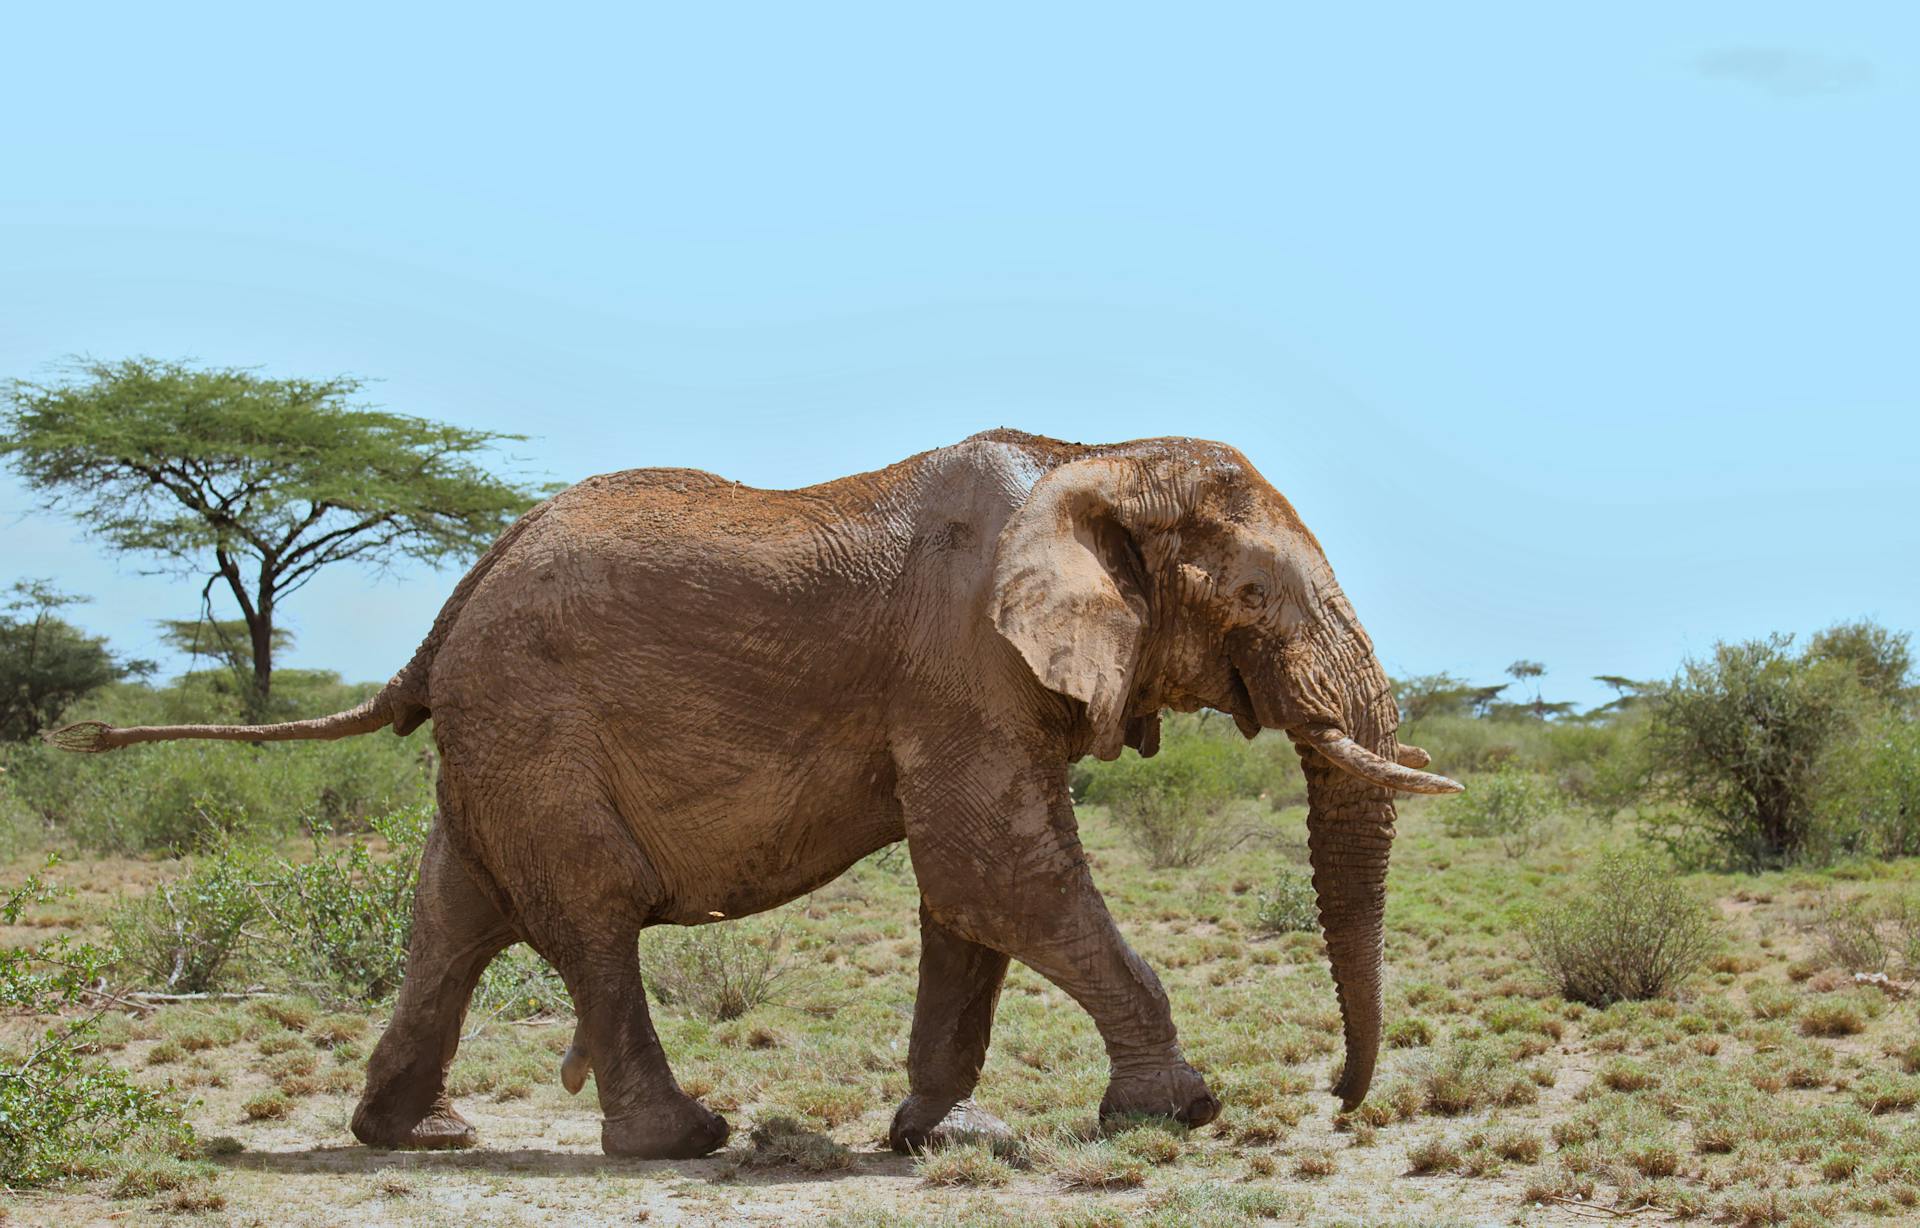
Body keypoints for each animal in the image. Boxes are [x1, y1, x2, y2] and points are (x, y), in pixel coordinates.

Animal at [52, 431, 1459, 1158]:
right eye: (1257, 596)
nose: (1342, 1099)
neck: (1092, 456)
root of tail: (453, 604)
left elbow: (972, 900)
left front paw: (943, 1135)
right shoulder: (961, 663)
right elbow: (993, 868)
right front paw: (1176, 1111)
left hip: (492, 744)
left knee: (450, 921)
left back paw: (420, 1133)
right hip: (532, 727)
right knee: (590, 916)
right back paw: (680, 1138)